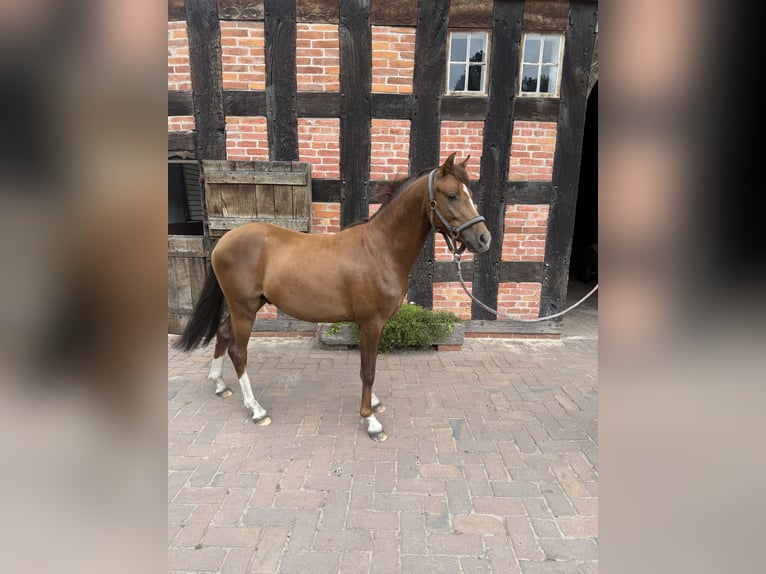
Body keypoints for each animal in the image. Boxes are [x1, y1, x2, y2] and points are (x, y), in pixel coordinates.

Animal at [174, 153, 491, 441]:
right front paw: (370, 421)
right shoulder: (370, 323)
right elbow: (368, 369)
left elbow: (369, 366)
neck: (380, 250)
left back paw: (219, 384)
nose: (483, 239)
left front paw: (374, 403)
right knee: (238, 352)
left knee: (223, 333)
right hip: (244, 308)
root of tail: (224, 241)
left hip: (246, 305)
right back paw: (256, 409)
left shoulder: (374, 325)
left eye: (469, 194)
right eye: (452, 195)